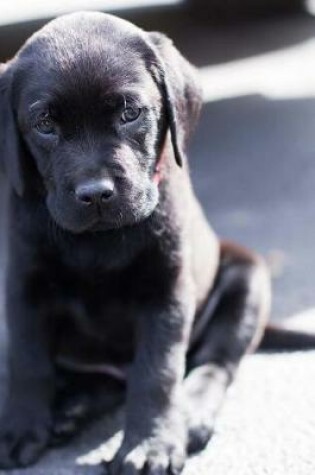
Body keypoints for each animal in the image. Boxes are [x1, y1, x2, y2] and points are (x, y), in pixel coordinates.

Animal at [0, 12, 272, 475]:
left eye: (130, 113)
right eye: (45, 125)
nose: (95, 194)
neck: (98, 241)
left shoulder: (166, 291)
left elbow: (157, 372)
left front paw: (150, 445)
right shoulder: (24, 284)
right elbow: (27, 361)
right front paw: (20, 429)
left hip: (247, 276)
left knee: (215, 362)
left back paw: (190, 413)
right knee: (102, 380)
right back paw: (71, 408)